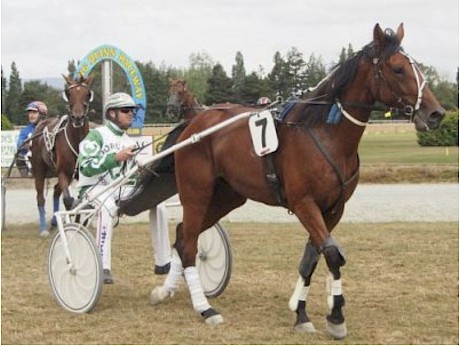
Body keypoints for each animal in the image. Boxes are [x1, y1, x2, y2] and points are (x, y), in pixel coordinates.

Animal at [30, 74, 93, 234]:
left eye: (87, 94)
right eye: (69, 93)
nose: (78, 117)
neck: (77, 140)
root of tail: (41, 124)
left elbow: (84, 202)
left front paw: (79, 223)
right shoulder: (64, 172)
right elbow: (69, 201)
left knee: (56, 191)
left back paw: (54, 222)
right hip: (39, 169)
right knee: (40, 197)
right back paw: (44, 228)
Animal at [151, 24, 446, 338]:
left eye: (417, 67)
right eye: (398, 69)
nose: (436, 113)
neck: (327, 134)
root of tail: (193, 124)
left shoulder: (333, 209)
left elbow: (312, 258)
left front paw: (301, 312)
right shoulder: (304, 203)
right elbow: (332, 255)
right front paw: (336, 316)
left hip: (227, 196)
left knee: (183, 235)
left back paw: (165, 290)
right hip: (197, 191)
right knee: (189, 243)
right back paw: (204, 308)